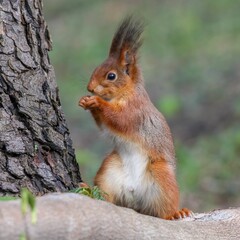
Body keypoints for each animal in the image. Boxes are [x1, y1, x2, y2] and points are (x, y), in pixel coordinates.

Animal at [79, 16, 191, 219]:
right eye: (96, 67)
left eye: (111, 76)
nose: (90, 88)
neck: (126, 92)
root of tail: (134, 197)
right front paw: (86, 101)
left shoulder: (135, 111)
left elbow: (119, 119)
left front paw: (97, 102)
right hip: (109, 171)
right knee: (106, 198)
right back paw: (88, 190)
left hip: (162, 176)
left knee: (163, 210)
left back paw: (175, 214)